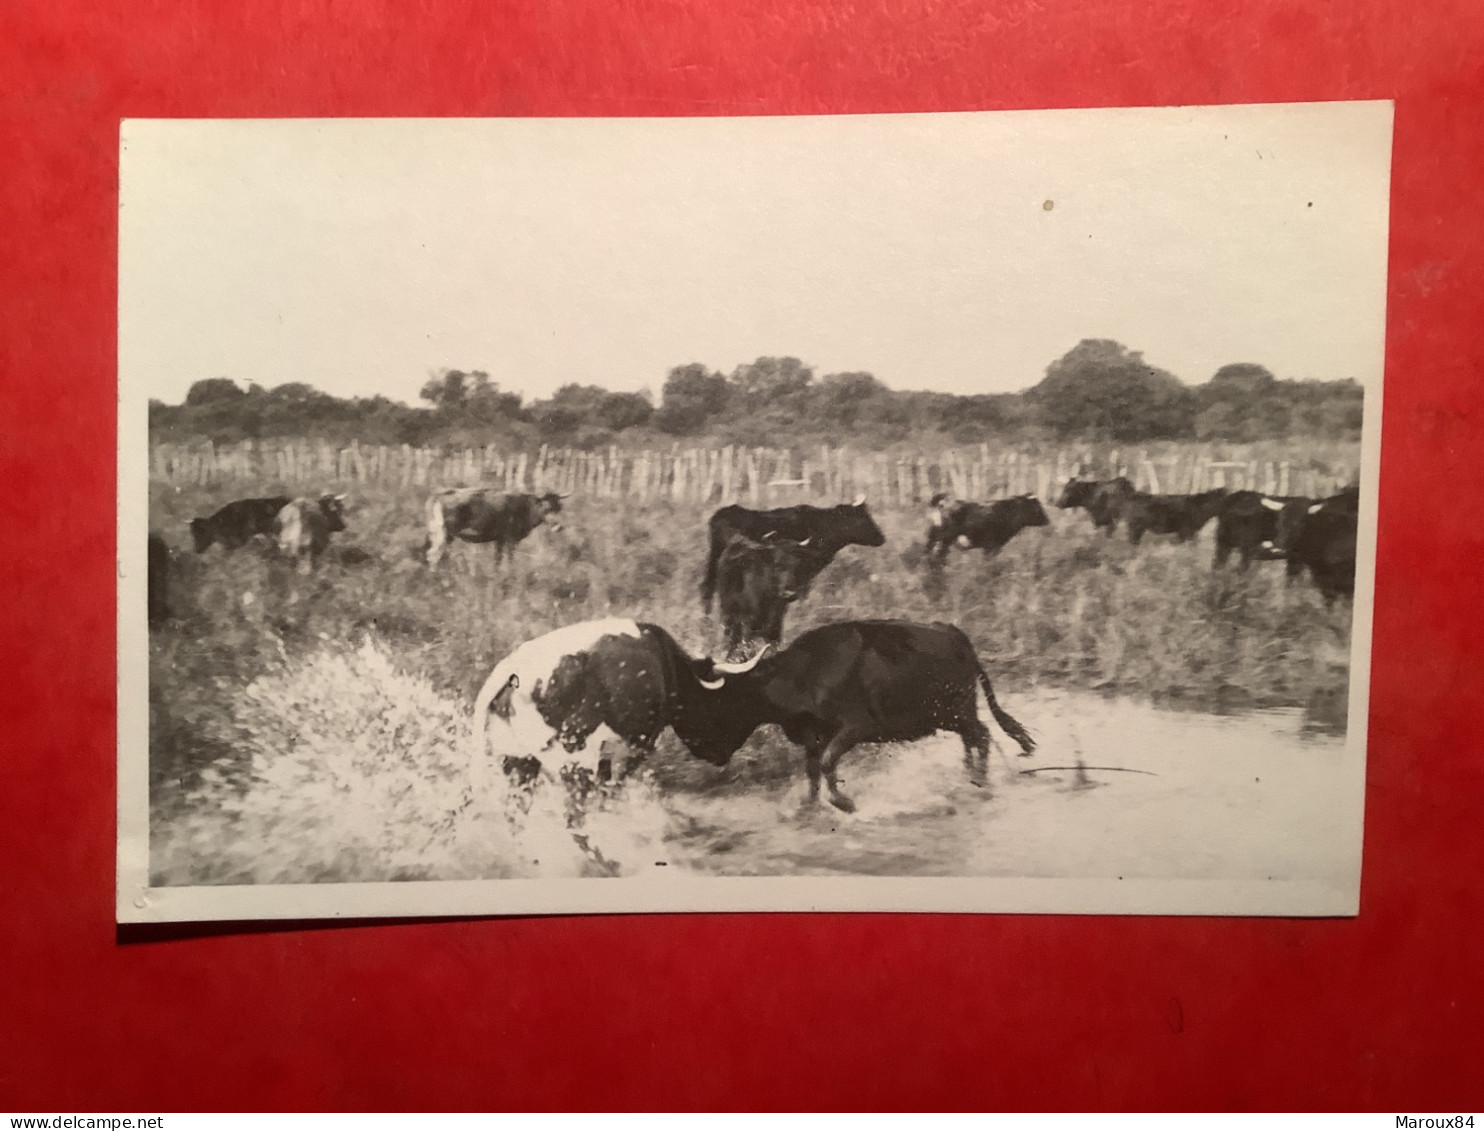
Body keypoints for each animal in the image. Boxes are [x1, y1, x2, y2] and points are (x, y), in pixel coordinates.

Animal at [474, 617, 1032, 813]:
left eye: (722, 704)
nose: (710, 753)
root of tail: (955, 632)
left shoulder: (855, 728)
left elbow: (827, 764)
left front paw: (845, 803)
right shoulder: (814, 736)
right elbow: (813, 770)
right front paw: (812, 806)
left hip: (956, 711)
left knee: (982, 737)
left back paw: (978, 782)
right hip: (951, 716)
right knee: (978, 739)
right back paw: (972, 779)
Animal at [926, 492, 1056, 561]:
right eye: (1036, 507)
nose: (1047, 520)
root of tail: (943, 503)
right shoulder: (991, 546)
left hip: (935, 539)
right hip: (944, 540)